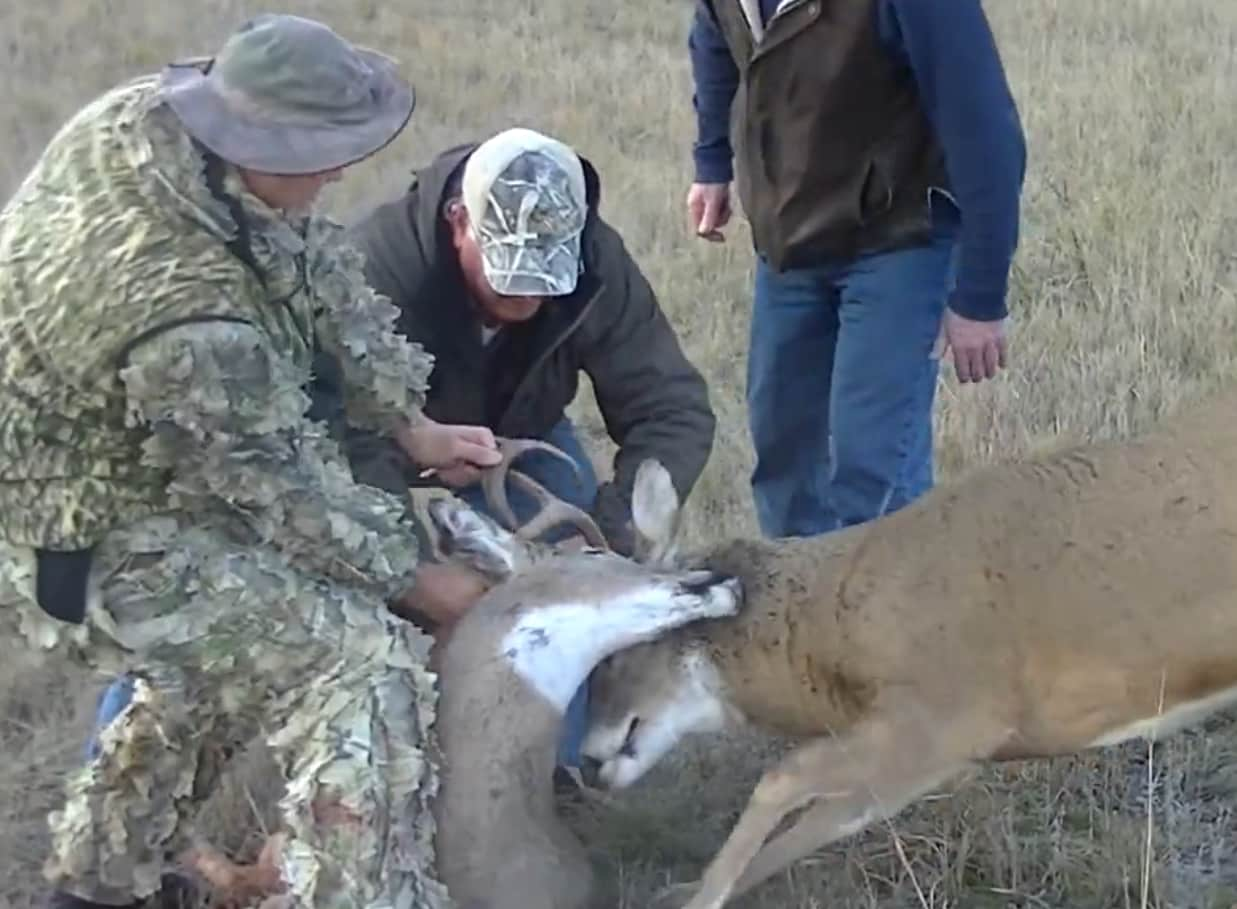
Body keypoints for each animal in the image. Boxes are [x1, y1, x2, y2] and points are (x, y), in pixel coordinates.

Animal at [442, 390, 1237, 909]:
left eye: (623, 651)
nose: (589, 760)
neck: (841, 623)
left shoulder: (954, 711)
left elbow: (782, 778)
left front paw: (693, 896)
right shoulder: (928, 752)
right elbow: (819, 822)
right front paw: (683, 888)